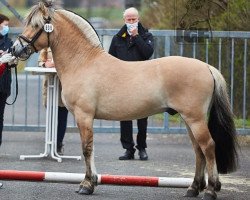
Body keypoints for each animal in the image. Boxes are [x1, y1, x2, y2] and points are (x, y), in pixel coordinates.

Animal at [11, 0, 238, 199]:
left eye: (36, 25)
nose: (15, 49)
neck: (83, 62)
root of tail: (207, 67)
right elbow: (90, 149)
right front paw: (93, 181)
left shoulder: (84, 116)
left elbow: (87, 148)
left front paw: (87, 185)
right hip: (188, 120)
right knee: (198, 151)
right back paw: (193, 188)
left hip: (195, 119)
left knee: (208, 147)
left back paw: (210, 190)